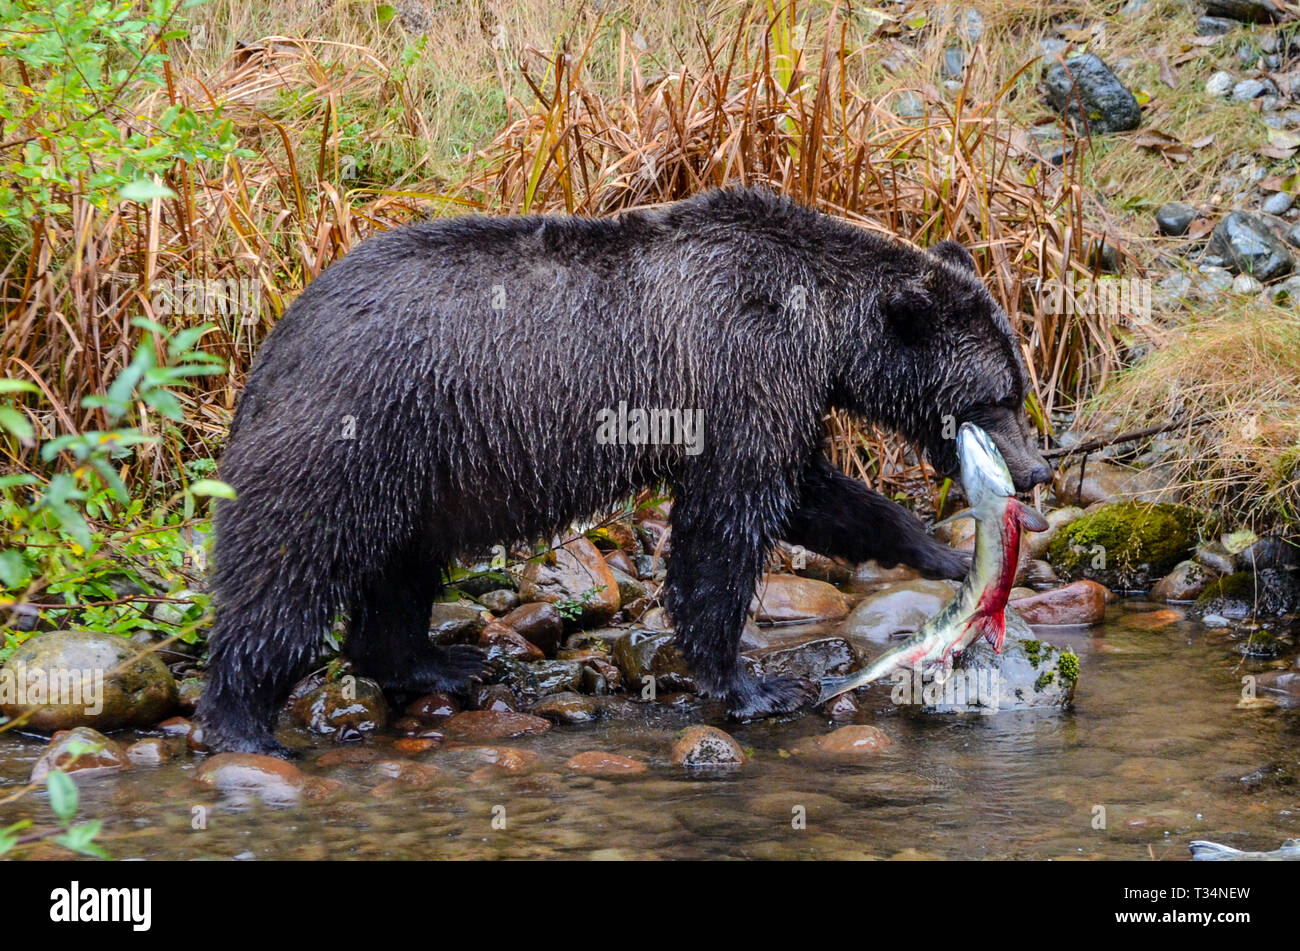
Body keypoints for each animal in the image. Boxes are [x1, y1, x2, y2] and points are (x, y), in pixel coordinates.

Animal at [202, 185, 1055, 753]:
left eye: (1017, 383)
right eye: (996, 397)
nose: (1037, 471)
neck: (821, 322)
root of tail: (274, 339)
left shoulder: (778, 392)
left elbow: (815, 495)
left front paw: (944, 551)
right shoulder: (740, 364)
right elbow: (727, 524)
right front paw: (752, 683)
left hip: (418, 468)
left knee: (402, 568)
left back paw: (438, 663)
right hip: (353, 428)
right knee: (290, 565)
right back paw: (244, 723)